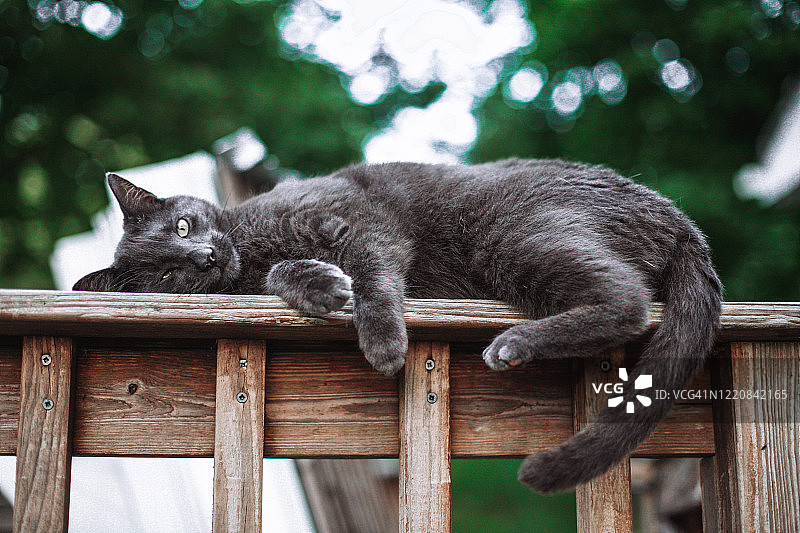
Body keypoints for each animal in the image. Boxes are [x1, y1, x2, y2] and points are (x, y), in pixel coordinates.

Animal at [76, 159, 724, 494]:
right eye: (169, 271)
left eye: (183, 227)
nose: (207, 257)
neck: (250, 246)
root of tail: (676, 218)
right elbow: (299, 274)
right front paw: (320, 285)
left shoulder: (356, 216)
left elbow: (374, 271)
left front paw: (382, 340)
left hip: (517, 232)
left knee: (628, 301)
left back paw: (513, 344)